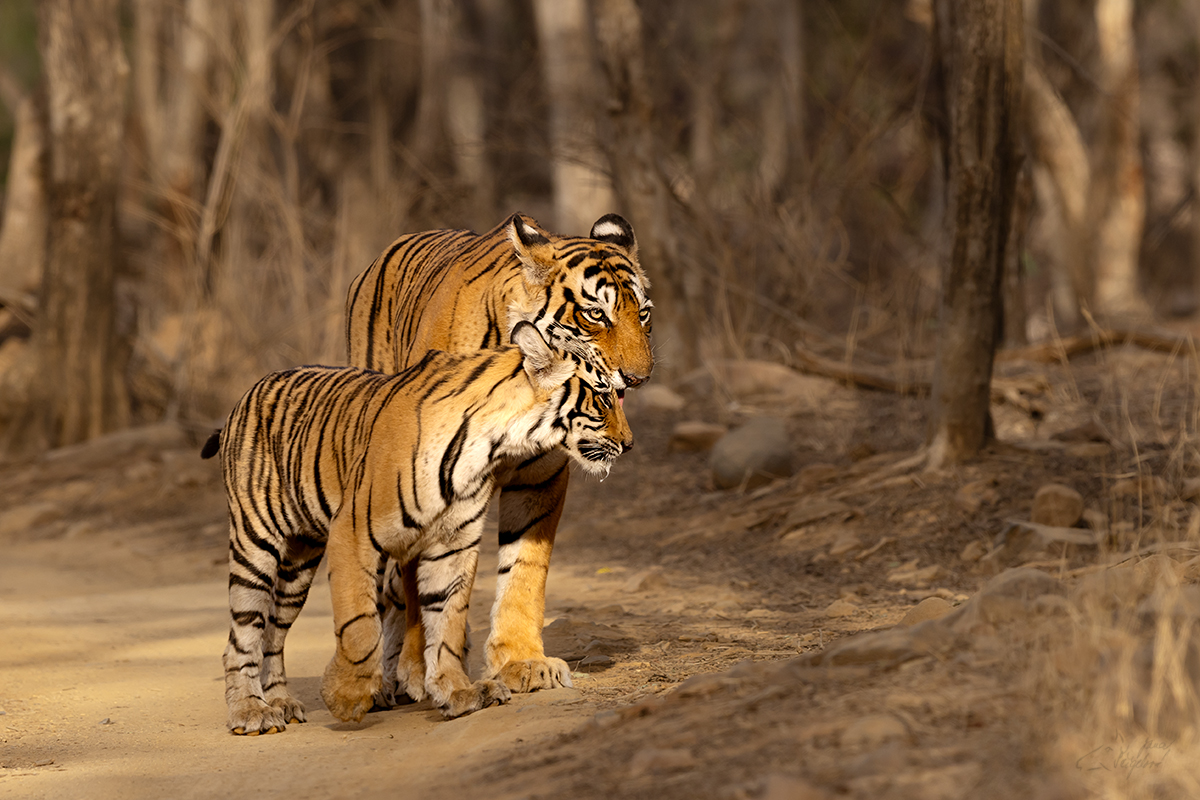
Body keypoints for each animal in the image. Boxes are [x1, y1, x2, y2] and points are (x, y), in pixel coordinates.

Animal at [206, 321, 633, 734]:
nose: (629, 444)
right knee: (242, 636)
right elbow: (360, 625)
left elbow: (447, 621)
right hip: (255, 544)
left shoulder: (453, 544)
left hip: (300, 560)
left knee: (274, 634)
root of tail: (248, 394)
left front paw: (458, 693)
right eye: (604, 398)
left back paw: (280, 703)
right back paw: (251, 712)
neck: (492, 444)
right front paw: (346, 696)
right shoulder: (353, 533)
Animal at [343, 214, 652, 705]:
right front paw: (417, 669)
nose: (639, 378)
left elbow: (524, 570)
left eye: (642, 314)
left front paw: (522, 662)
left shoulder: (539, 478)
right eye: (595, 314)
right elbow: (415, 580)